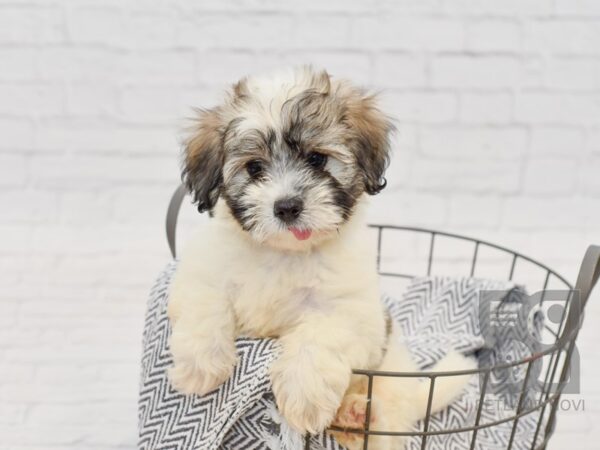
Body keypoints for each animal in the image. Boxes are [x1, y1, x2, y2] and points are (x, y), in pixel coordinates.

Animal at [166, 66, 472, 436]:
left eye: (316, 159)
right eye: (254, 168)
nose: (287, 207)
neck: (284, 252)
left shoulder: (352, 313)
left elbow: (320, 335)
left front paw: (304, 398)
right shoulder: (202, 270)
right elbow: (205, 304)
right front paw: (201, 366)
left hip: (393, 378)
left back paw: (357, 416)